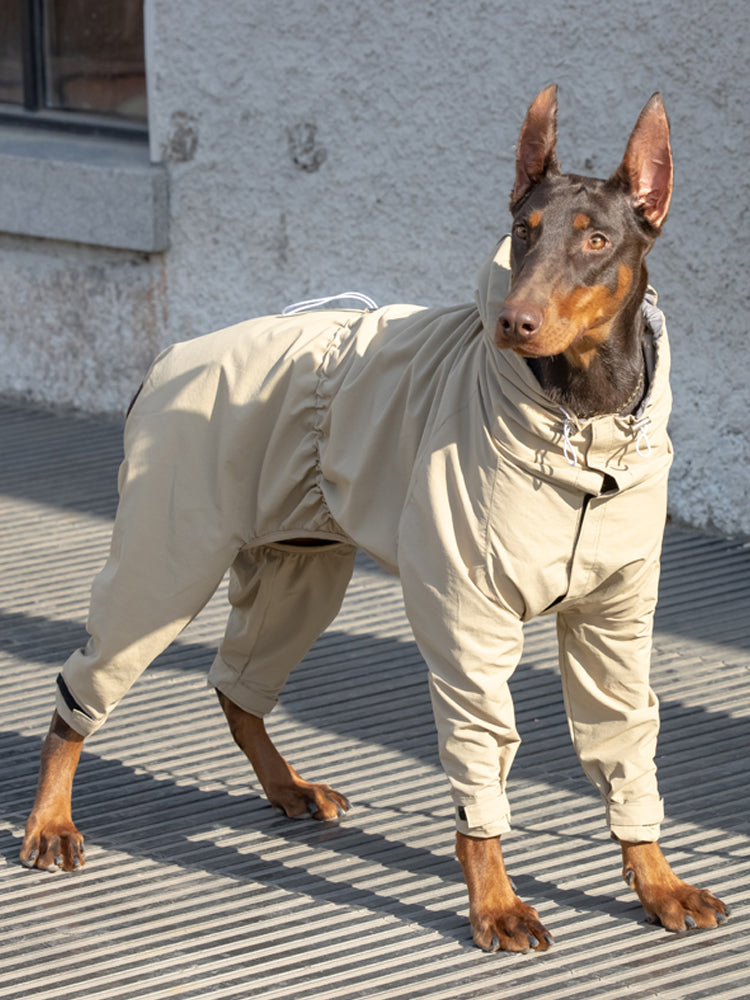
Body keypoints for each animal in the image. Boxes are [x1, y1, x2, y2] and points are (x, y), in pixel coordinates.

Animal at [22, 86, 728, 952]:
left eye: (597, 238)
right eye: (523, 231)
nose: (515, 321)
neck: (582, 421)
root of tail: (167, 360)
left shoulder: (615, 625)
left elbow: (626, 746)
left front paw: (659, 882)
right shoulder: (468, 623)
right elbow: (479, 768)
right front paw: (495, 903)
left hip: (300, 570)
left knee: (236, 685)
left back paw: (286, 786)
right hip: (167, 559)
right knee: (81, 694)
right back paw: (49, 822)